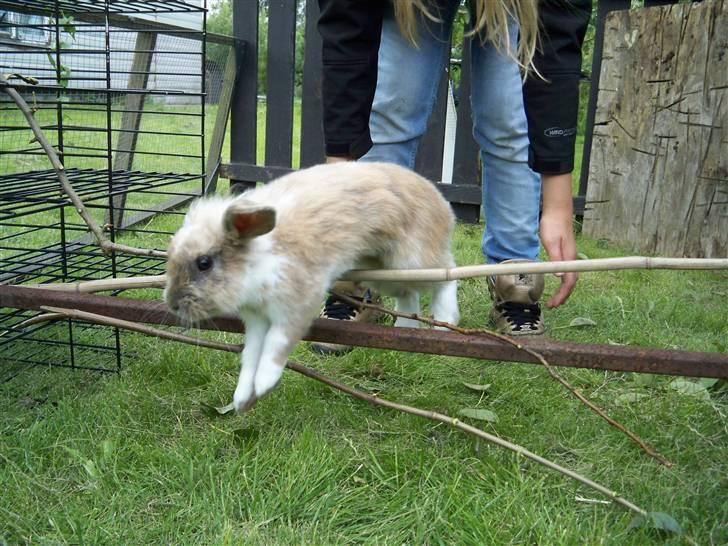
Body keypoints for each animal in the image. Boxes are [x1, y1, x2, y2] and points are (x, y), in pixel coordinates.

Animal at [165, 159, 460, 410]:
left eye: (204, 263)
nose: (173, 304)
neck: (258, 258)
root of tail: (438, 196)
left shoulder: (296, 307)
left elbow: (276, 347)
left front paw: (265, 383)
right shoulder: (257, 321)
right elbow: (250, 356)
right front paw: (241, 399)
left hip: (411, 262)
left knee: (448, 273)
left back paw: (446, 321)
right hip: (381, 272)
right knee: (408, 295)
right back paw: (405, 326)